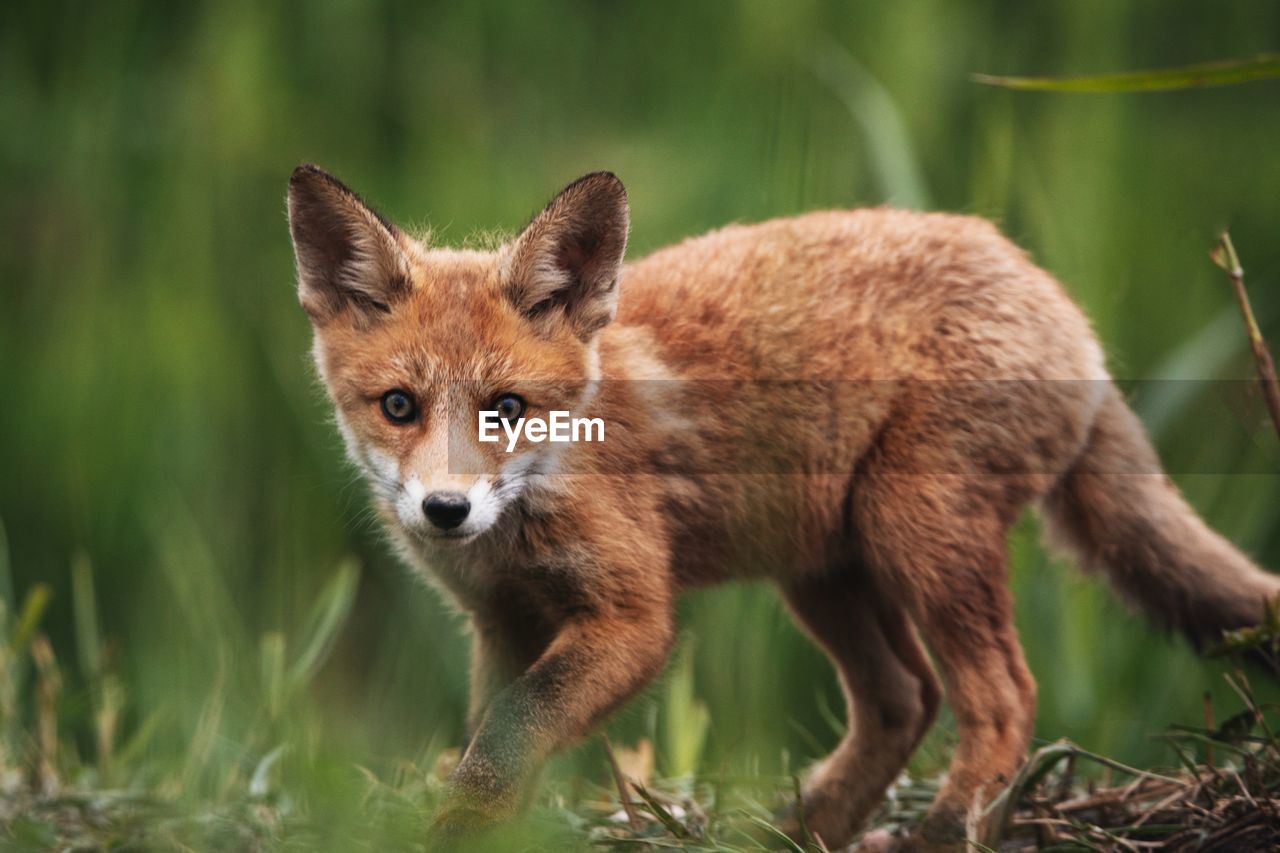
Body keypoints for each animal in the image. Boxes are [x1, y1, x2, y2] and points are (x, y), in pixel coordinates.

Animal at [290, 162, 1280, 845]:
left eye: (506, 407)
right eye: (399, 406)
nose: (445, 511)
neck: (535, 503)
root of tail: (1060, 301)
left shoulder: (633, 619)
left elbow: (512, 727)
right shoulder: (502, 623)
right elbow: (496, 744)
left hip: (912, 527)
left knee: (1001, 695)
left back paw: (940, 830)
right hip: (826, 570)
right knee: (905, 699)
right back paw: (803, 828)